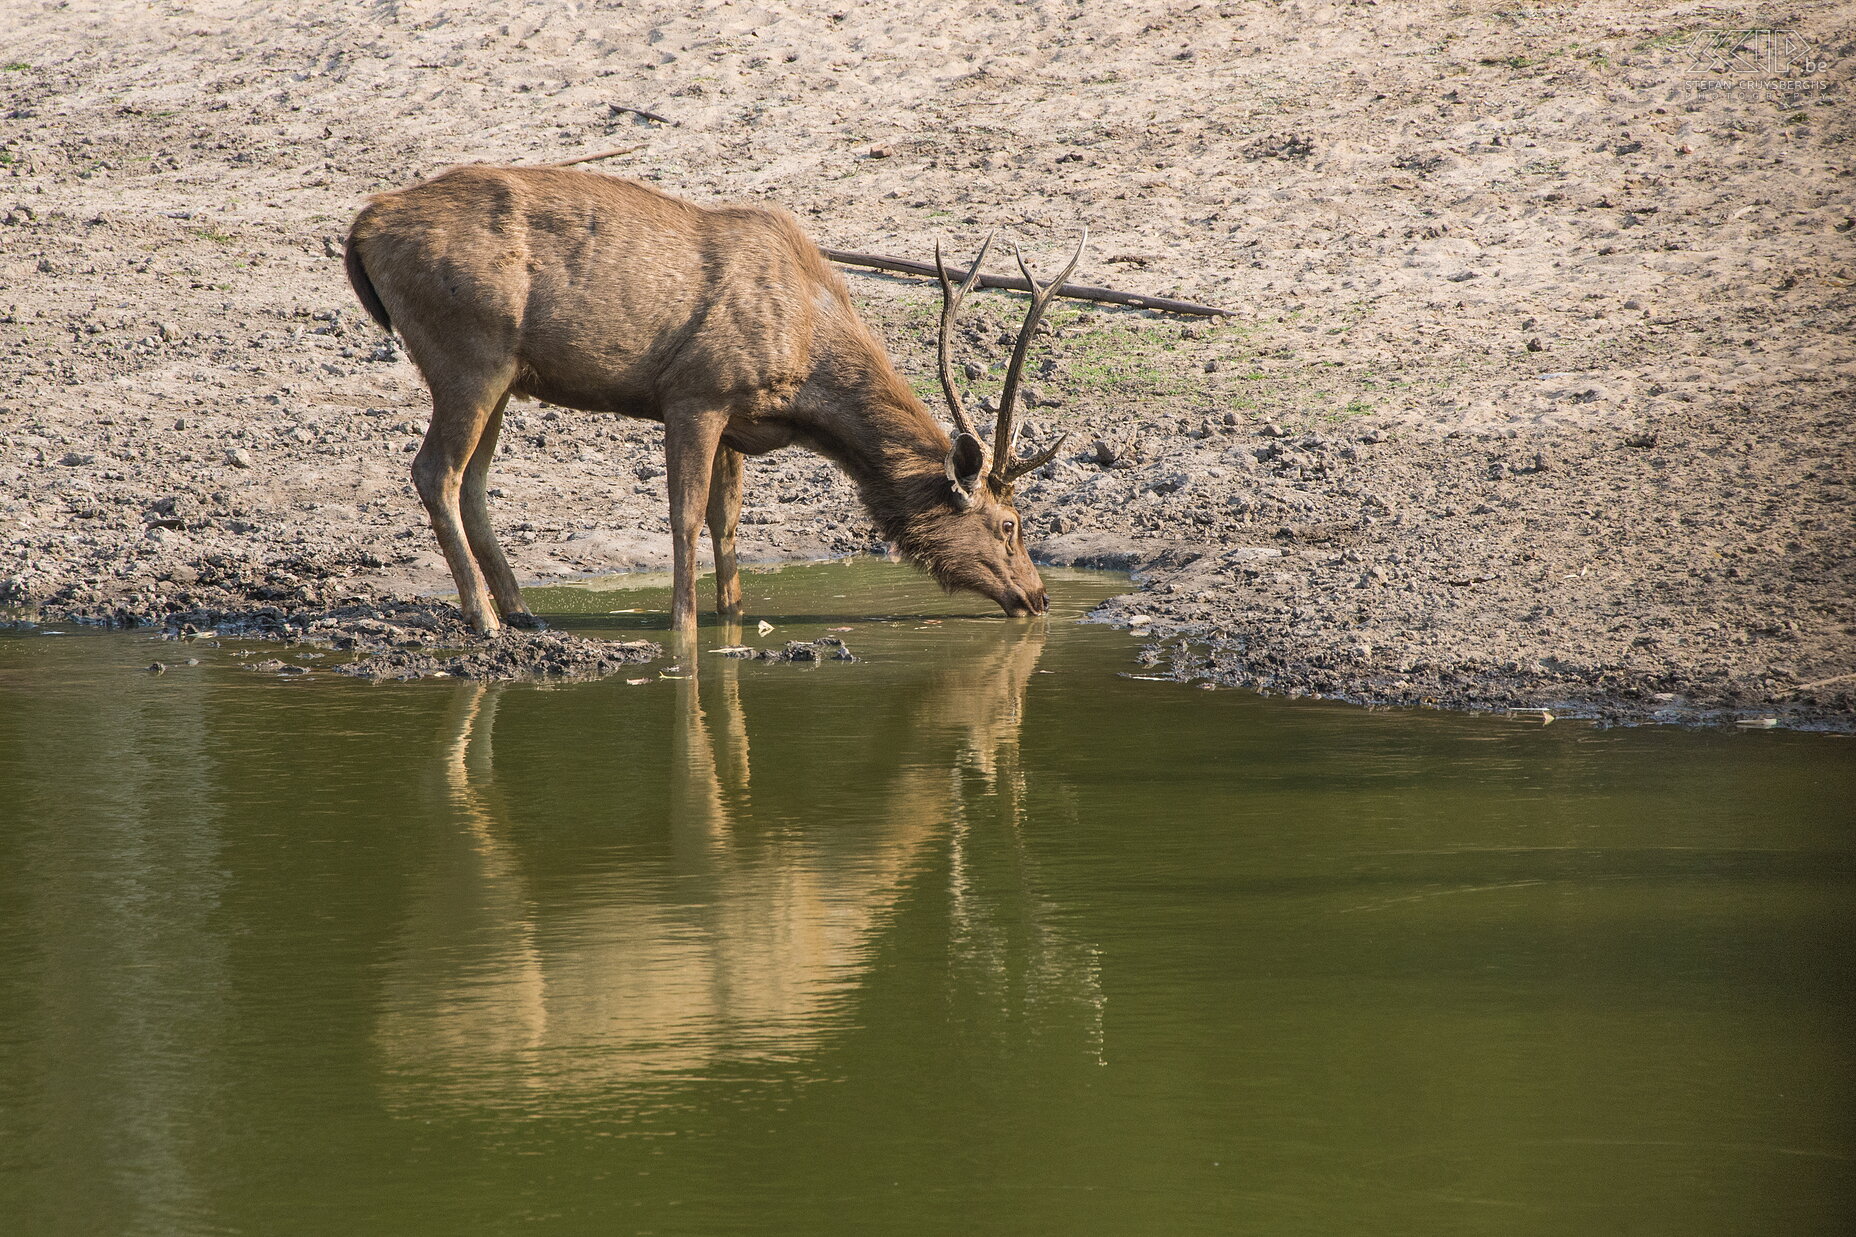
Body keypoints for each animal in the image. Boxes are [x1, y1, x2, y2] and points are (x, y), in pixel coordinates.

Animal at [341, 166, 1083, 635]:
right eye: (1009, 524)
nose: (1040, 596)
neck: (806, 369)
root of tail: (362, 227)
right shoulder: (696, 391)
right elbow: (686, 517)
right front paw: (685, 627)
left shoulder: (738, 419)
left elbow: (728, 522)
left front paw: (734, 615)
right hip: (467, 356)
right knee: (434, 471)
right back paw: (486, 619)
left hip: (502, 375)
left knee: (472, 480)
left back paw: (522, 609)